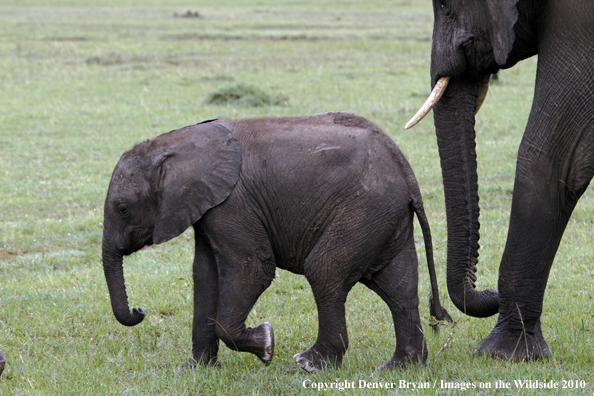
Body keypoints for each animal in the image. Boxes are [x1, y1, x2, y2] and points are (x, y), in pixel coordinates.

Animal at [102, 110, 444, 372]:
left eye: (122, 208)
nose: (139, 311)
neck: (175, 144)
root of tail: (402, 164)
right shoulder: (206, 207)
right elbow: (205, 276)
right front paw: (194, 370)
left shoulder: (233, 203)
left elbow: (253, 269)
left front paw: (266, 345)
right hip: (384, 216)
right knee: (399, 289)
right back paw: (400, 368)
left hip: (363, 209)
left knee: (325, 271)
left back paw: (311, 364)